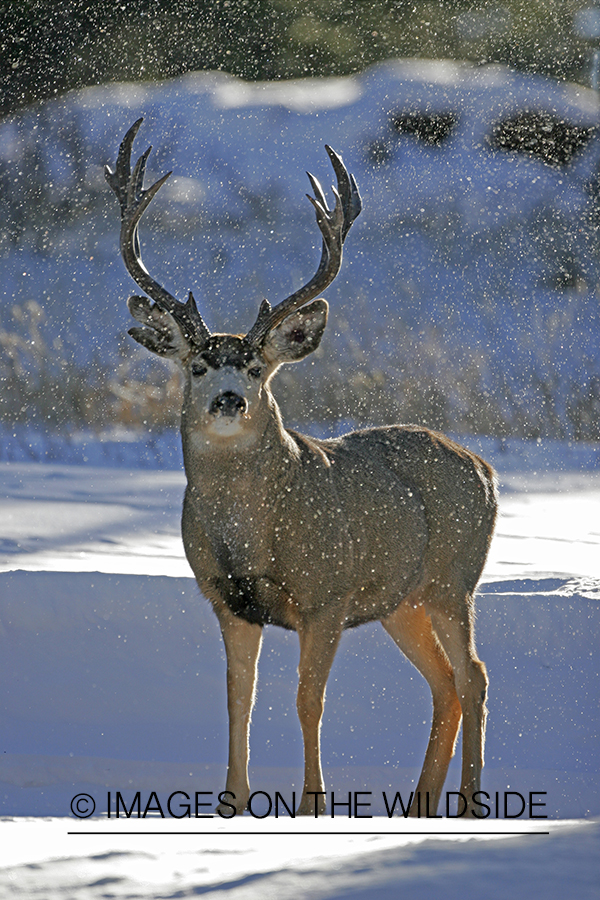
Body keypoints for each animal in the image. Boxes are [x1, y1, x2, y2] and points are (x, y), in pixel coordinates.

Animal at [105, 119, 497, 817]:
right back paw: (419, 806)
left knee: (474, 676)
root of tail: (485, 469)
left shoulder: (326, 594)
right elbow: (239, 702)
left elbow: (307, 702)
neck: (254, 533)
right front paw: (231, 804)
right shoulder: (227, 601)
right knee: (445, 683)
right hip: (402, 598)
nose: (229, 400)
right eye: (197, 365)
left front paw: (313, 806)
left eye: (257, 368)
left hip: (455, 578)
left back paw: (469, 805)